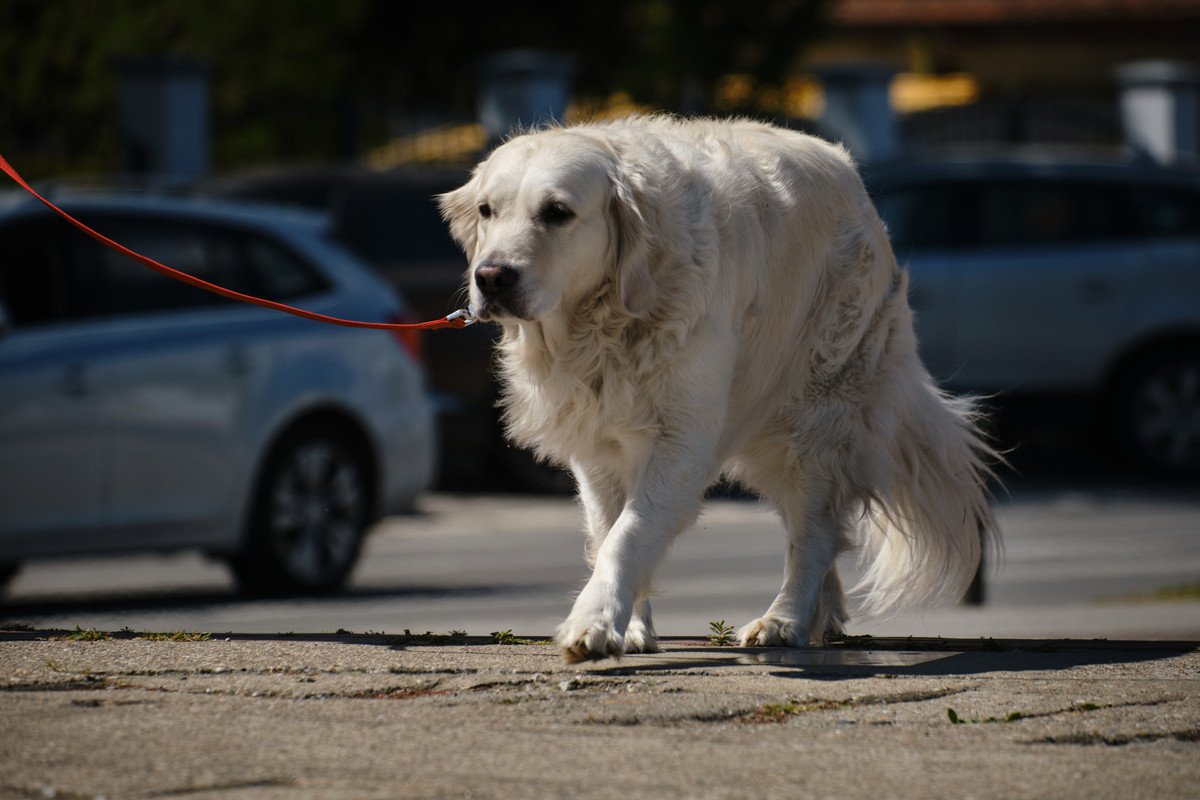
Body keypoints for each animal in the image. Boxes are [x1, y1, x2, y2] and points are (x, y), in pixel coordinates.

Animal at [439, 113, 993, 662]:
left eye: (557, 212)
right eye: (487, 210)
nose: (491, 277)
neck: (608, 320)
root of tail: (851, 176)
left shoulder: (681, 441)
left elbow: (630, 534)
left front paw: (593, 623)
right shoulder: (597, 449)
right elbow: (610, 529)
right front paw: (630, 625)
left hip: (817, 417)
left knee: (813, 531)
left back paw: (784, 620)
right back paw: (822, 618)